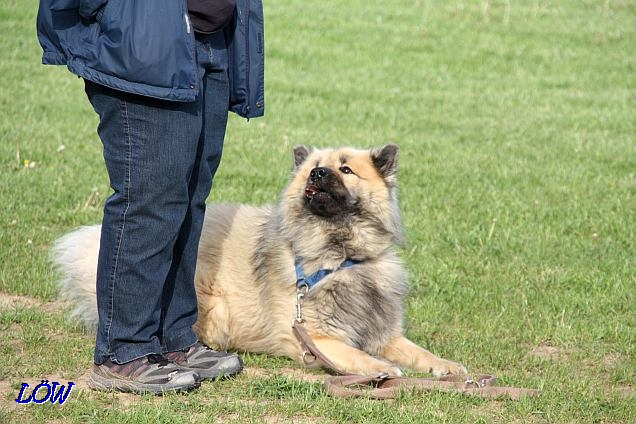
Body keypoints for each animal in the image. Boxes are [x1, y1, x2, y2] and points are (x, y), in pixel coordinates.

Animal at [52, 147, 468, 378]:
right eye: (316, 166)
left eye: (346, 169)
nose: (317, 172)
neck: (341, 257)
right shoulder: (316, 338)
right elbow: (357, 354)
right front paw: (381, 368)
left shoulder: (384, 333)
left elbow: (417, 351)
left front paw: (447, 366)